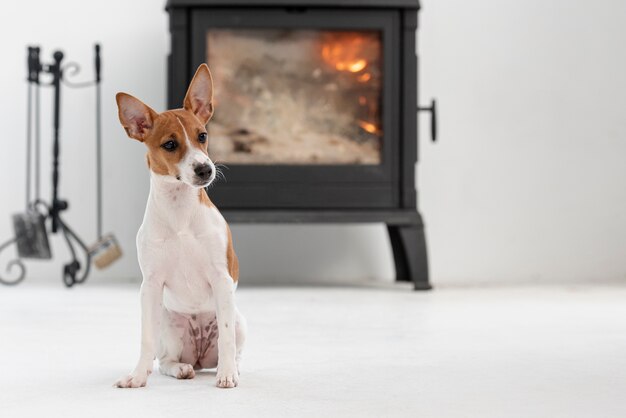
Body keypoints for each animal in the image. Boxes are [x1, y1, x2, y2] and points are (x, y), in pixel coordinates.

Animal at [113, 64, 245, 388]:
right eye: (170, 145)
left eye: (203, 136)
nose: (205, 169)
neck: (180, 213)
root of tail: (199, 358)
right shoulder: (150, 286)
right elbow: (145, 341)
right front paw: (137, 376)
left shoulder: (222, 279)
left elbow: (226, 339)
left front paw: (226, 375)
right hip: (169, 326)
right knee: (165, 361)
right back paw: (180, 369)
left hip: (239, 320)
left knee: (232, 346)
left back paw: (230, 368)